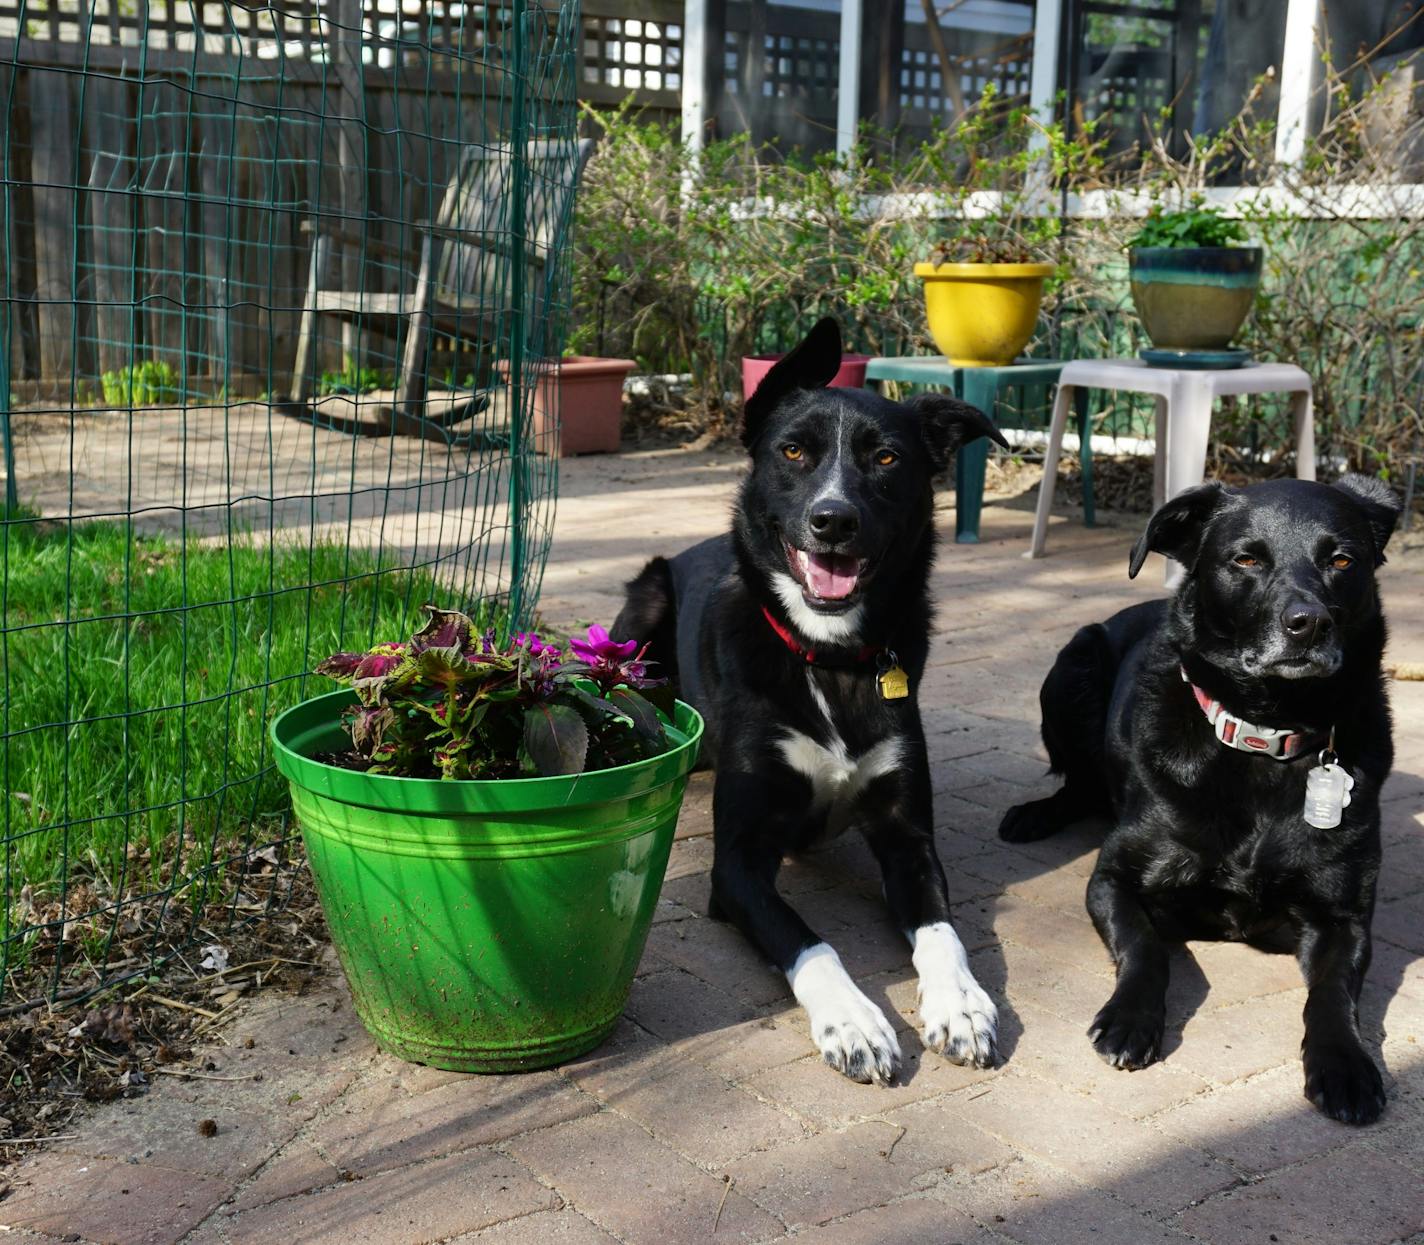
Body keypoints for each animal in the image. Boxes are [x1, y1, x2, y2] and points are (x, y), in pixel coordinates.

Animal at [618, 317, 1008, 1076]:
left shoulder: (908, 837)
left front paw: (961, 1005)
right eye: (793, 450)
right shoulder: (737, 863)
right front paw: (853, 1022)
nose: (833, 520)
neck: (827, 655)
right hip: (641, 610)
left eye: (886, 458)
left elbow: (942, 929)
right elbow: (811, 939)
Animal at [1002, 475, 1401, 1128]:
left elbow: (1332, 994)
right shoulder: (1112, 879)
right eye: (1246, 559)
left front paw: (1344, 1065)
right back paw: (1034, 814)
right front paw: (1130, 1019)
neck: (1267, 736)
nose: (1309, 624)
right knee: (1077, 782)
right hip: (1071, 667)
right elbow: (1147, 950)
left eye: (1343, 561)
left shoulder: (1344, 916)